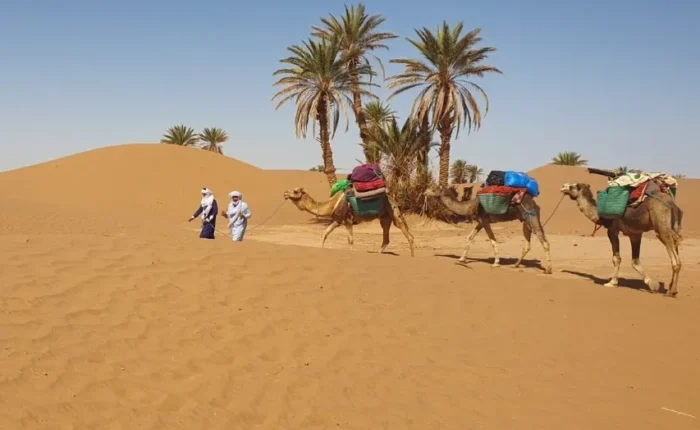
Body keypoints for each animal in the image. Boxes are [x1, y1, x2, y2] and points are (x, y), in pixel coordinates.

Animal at [282, 187, 415, 257]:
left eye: (295, 191)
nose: (285, 193)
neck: (332, 204)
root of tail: (393, 199)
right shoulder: (337, 220)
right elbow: (324, 234)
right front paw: (321, 249)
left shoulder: (348, 220)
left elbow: (350, 239)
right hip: (384, 218)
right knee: (386, 237)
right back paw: (378, 254)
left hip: (394, 214)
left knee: (408, 234)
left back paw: (412, 257)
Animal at [424, 186, 553, 274]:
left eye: (434, 189)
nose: (425, 192)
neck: (470, 206)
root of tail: (535, 204)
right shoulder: (481, 222)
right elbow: (469, 237)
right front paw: (461, 259)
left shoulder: (485, 221)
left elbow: (492, 241)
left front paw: (496, 263)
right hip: (525, 221)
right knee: (527, 244)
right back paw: (515, 265)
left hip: (531, 216)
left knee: (544, 241)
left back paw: (548, 270)